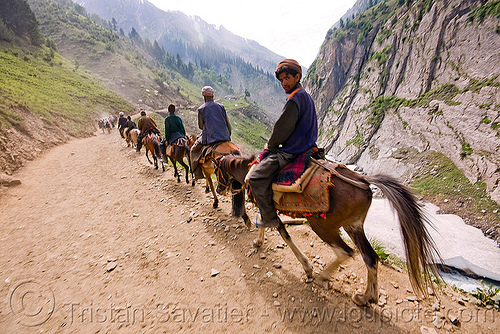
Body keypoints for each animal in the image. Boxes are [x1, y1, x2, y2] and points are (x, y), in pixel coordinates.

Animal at [214, 155, 442, 306]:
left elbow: (279, 230)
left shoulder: (266, 205)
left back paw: (322, 278)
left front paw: (306, 267)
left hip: (323, 226)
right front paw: (258, 242)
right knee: (370, 257)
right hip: (354, 226)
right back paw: (366, 297)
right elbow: (265, 224)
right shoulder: (267, 207)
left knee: (345, 252)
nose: (218, 189)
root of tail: (363, 180)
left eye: (217, 171)